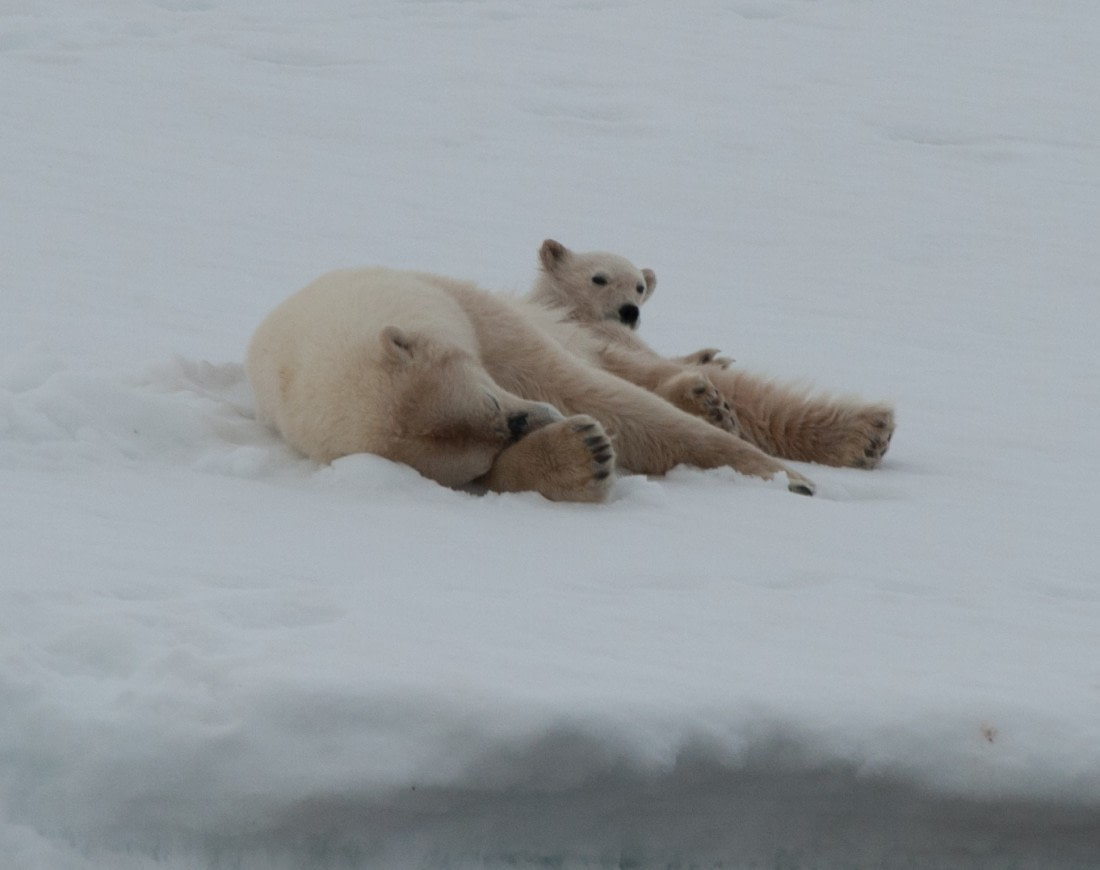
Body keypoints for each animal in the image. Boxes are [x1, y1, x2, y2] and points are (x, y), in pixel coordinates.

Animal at [246, 263, 817, 503]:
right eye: (477, 452)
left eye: (489, 399)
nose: (534, 420)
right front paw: (581, 453)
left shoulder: (471, 315)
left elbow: (582, 388)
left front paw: (789, 478)